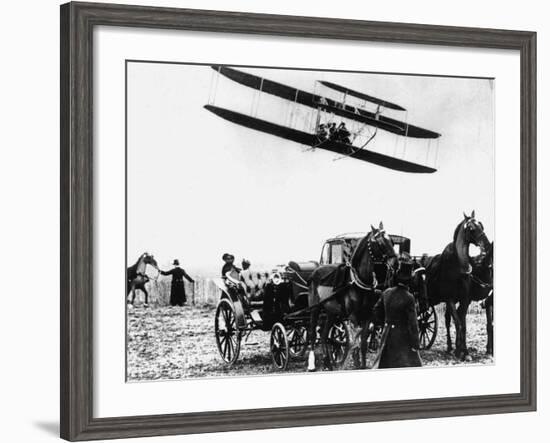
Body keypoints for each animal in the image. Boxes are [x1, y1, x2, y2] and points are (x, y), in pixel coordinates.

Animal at [308, 222, 398, 372]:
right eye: (379, 242)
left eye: (391, 240)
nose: (396, 263)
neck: (359, 282)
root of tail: (316, 270)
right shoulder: (353, 317)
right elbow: (354, 342)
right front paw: (356, 364)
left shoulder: (367, 316)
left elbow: (363, 343)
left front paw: (362, 365)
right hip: (314, 309)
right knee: (312, 334)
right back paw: (312, 365)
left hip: (331, 312)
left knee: (325, 335)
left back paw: (328, 364)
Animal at [426, 212, 492, 360]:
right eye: (472, 228)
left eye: (481, 225)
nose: (487, 245)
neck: (458, 268)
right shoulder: (450, 299)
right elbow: (458, 323)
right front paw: (458, 350)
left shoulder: (465, 300)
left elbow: (463, 324)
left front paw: (465, 351)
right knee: (447, 321)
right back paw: (450, 347)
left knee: (448, 318)